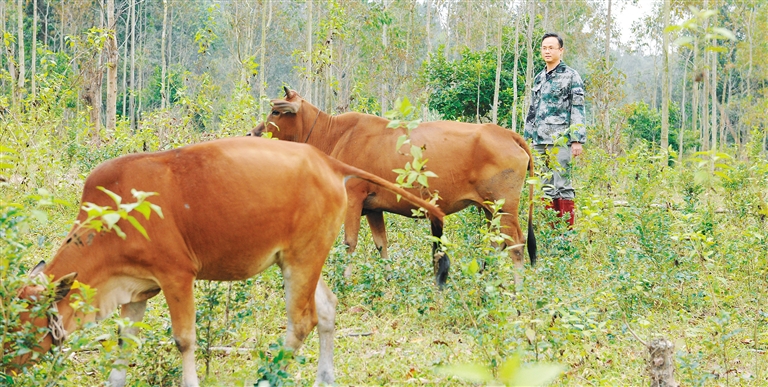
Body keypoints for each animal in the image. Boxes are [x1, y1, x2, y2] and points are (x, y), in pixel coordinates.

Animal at [9, 137, 444, 387]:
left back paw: (269, 379)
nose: (8, 364)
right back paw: (325, 378)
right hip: (301, 257)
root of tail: (328, 162)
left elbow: (184, 340)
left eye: (24, 327)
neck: (112, 220)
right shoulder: (134, 290)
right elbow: (124, 347)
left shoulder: (177, 276)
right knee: (327, 308)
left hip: (302, 259)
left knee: (301, 322)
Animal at [249, 88, 536, 288]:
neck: (336, 134)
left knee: (516, 244)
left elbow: (349, 243)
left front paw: (345, 280)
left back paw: (518, 290)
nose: (253, 134)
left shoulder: (353, 200)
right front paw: (387, 279)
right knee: (497, 244)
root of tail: (507, 134)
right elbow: (382, 246)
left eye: (276, 112)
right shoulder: (374, 209)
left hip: (505, 208)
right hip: (490, 209)